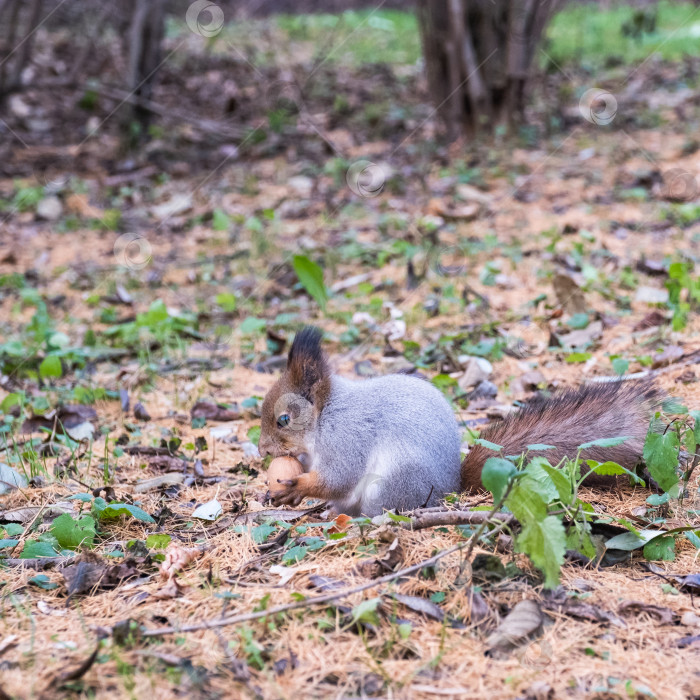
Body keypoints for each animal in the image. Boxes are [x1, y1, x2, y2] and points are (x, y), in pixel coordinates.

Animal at [260, 326, 664, 516]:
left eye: (283, 419)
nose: (263, 450)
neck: (324, 418)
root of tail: (452, 486)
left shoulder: (347, 437)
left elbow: (339, 476)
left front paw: (296, 485)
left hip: (397, 481)